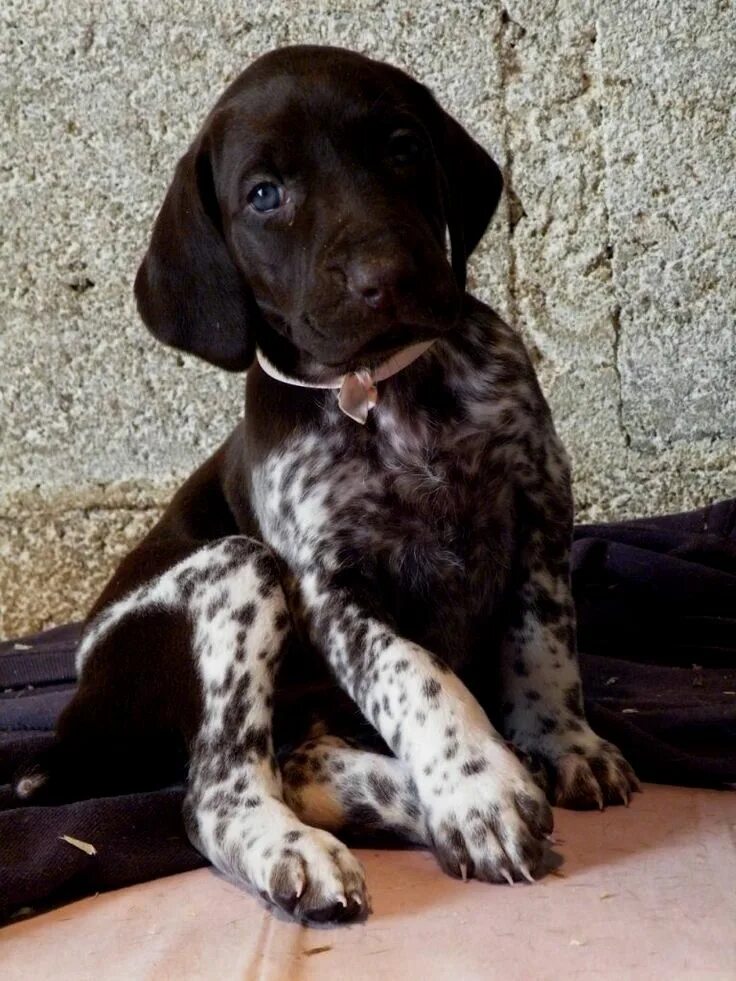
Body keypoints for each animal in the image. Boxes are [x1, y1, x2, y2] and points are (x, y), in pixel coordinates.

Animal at [17, 44, 640, 920]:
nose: (387, 274)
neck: (382, 389)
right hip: (237, 569)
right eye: (264, 195)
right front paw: (476, 789)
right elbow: (416, 673)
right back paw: (307, 843)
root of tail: (75, 721)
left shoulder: (539, 507)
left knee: (298, 761)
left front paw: (561, 741)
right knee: (221, 787)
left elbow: (543, 643)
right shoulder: (332, 587)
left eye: (403, 148)